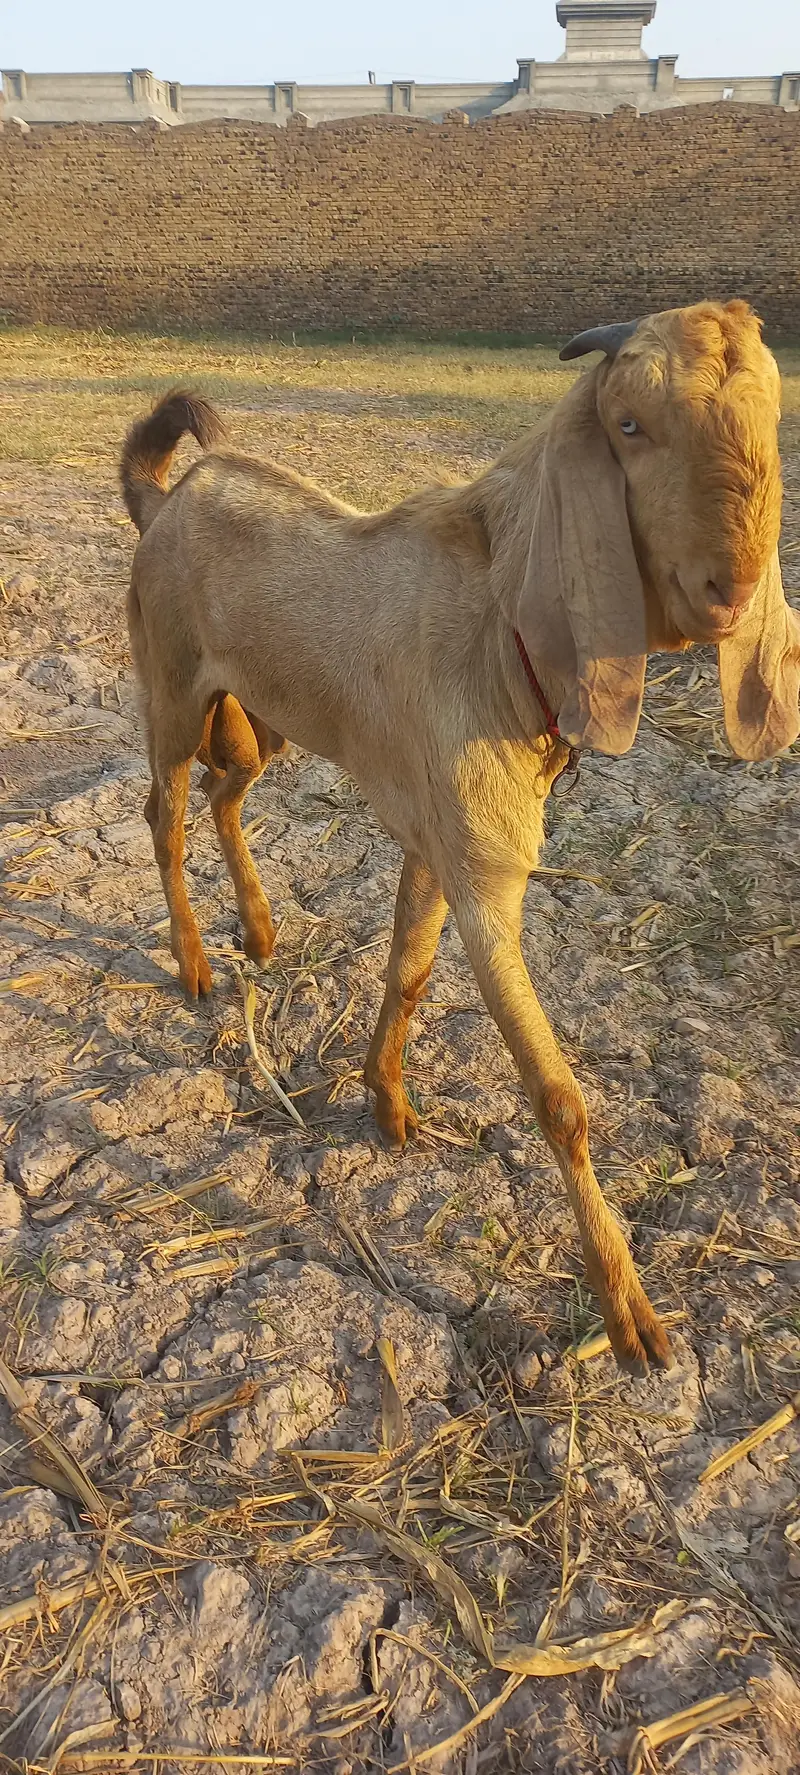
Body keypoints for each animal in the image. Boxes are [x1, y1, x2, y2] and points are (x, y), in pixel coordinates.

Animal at [121, 300, 800, 1377]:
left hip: (258, 718)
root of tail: (165, 499)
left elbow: (406, 969)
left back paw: (261, 930)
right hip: (176, 690)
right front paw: (630, 1316)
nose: (729, 591)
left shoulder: (435, 841)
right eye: (629, 425)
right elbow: (557, 1098)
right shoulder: (485, 874)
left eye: (767, 417)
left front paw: (386, 1102)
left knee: (230, 793)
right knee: (167, 809)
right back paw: (192, 962)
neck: (500, 620)